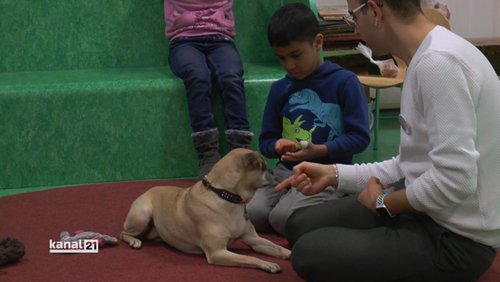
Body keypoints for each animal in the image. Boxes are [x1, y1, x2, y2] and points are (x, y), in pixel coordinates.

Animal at [121, 148, 292, 274]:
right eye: (263, 167)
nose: (273, 173)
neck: (225, 196)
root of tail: (149, 190)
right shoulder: (217, 252)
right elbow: (248, 258)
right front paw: (268, 264)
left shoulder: (253, 239)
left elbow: (275, 247)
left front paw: (290, 253)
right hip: (142, 215)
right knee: (124, 233)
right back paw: (134, 241)